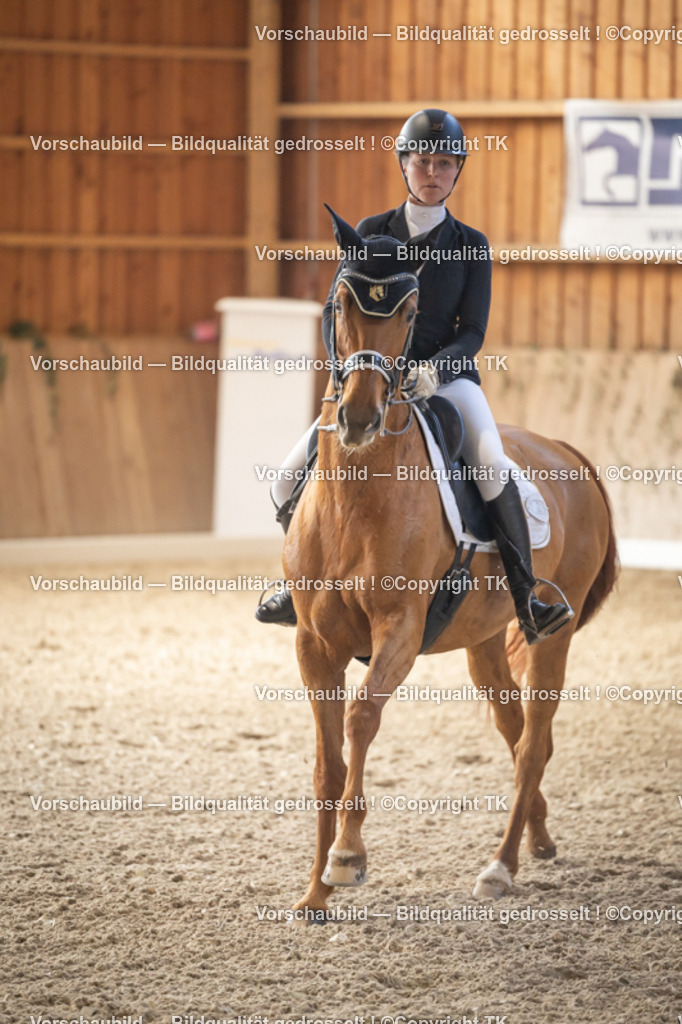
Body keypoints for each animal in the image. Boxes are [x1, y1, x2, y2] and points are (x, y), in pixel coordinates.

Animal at [283, 209, 618, 916]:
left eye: (410, 312)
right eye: (339, 303)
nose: (358, 417)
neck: (357, 496)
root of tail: (566, 449)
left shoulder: (401, 632)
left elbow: (361, 719)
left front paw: (347, 857)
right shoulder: (312, 641)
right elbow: (327, 761)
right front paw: (314, 896)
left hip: (553, 633)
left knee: (533, 740)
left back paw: (501, 866)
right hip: (485, 640)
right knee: (515, 728)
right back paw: (538, 840)